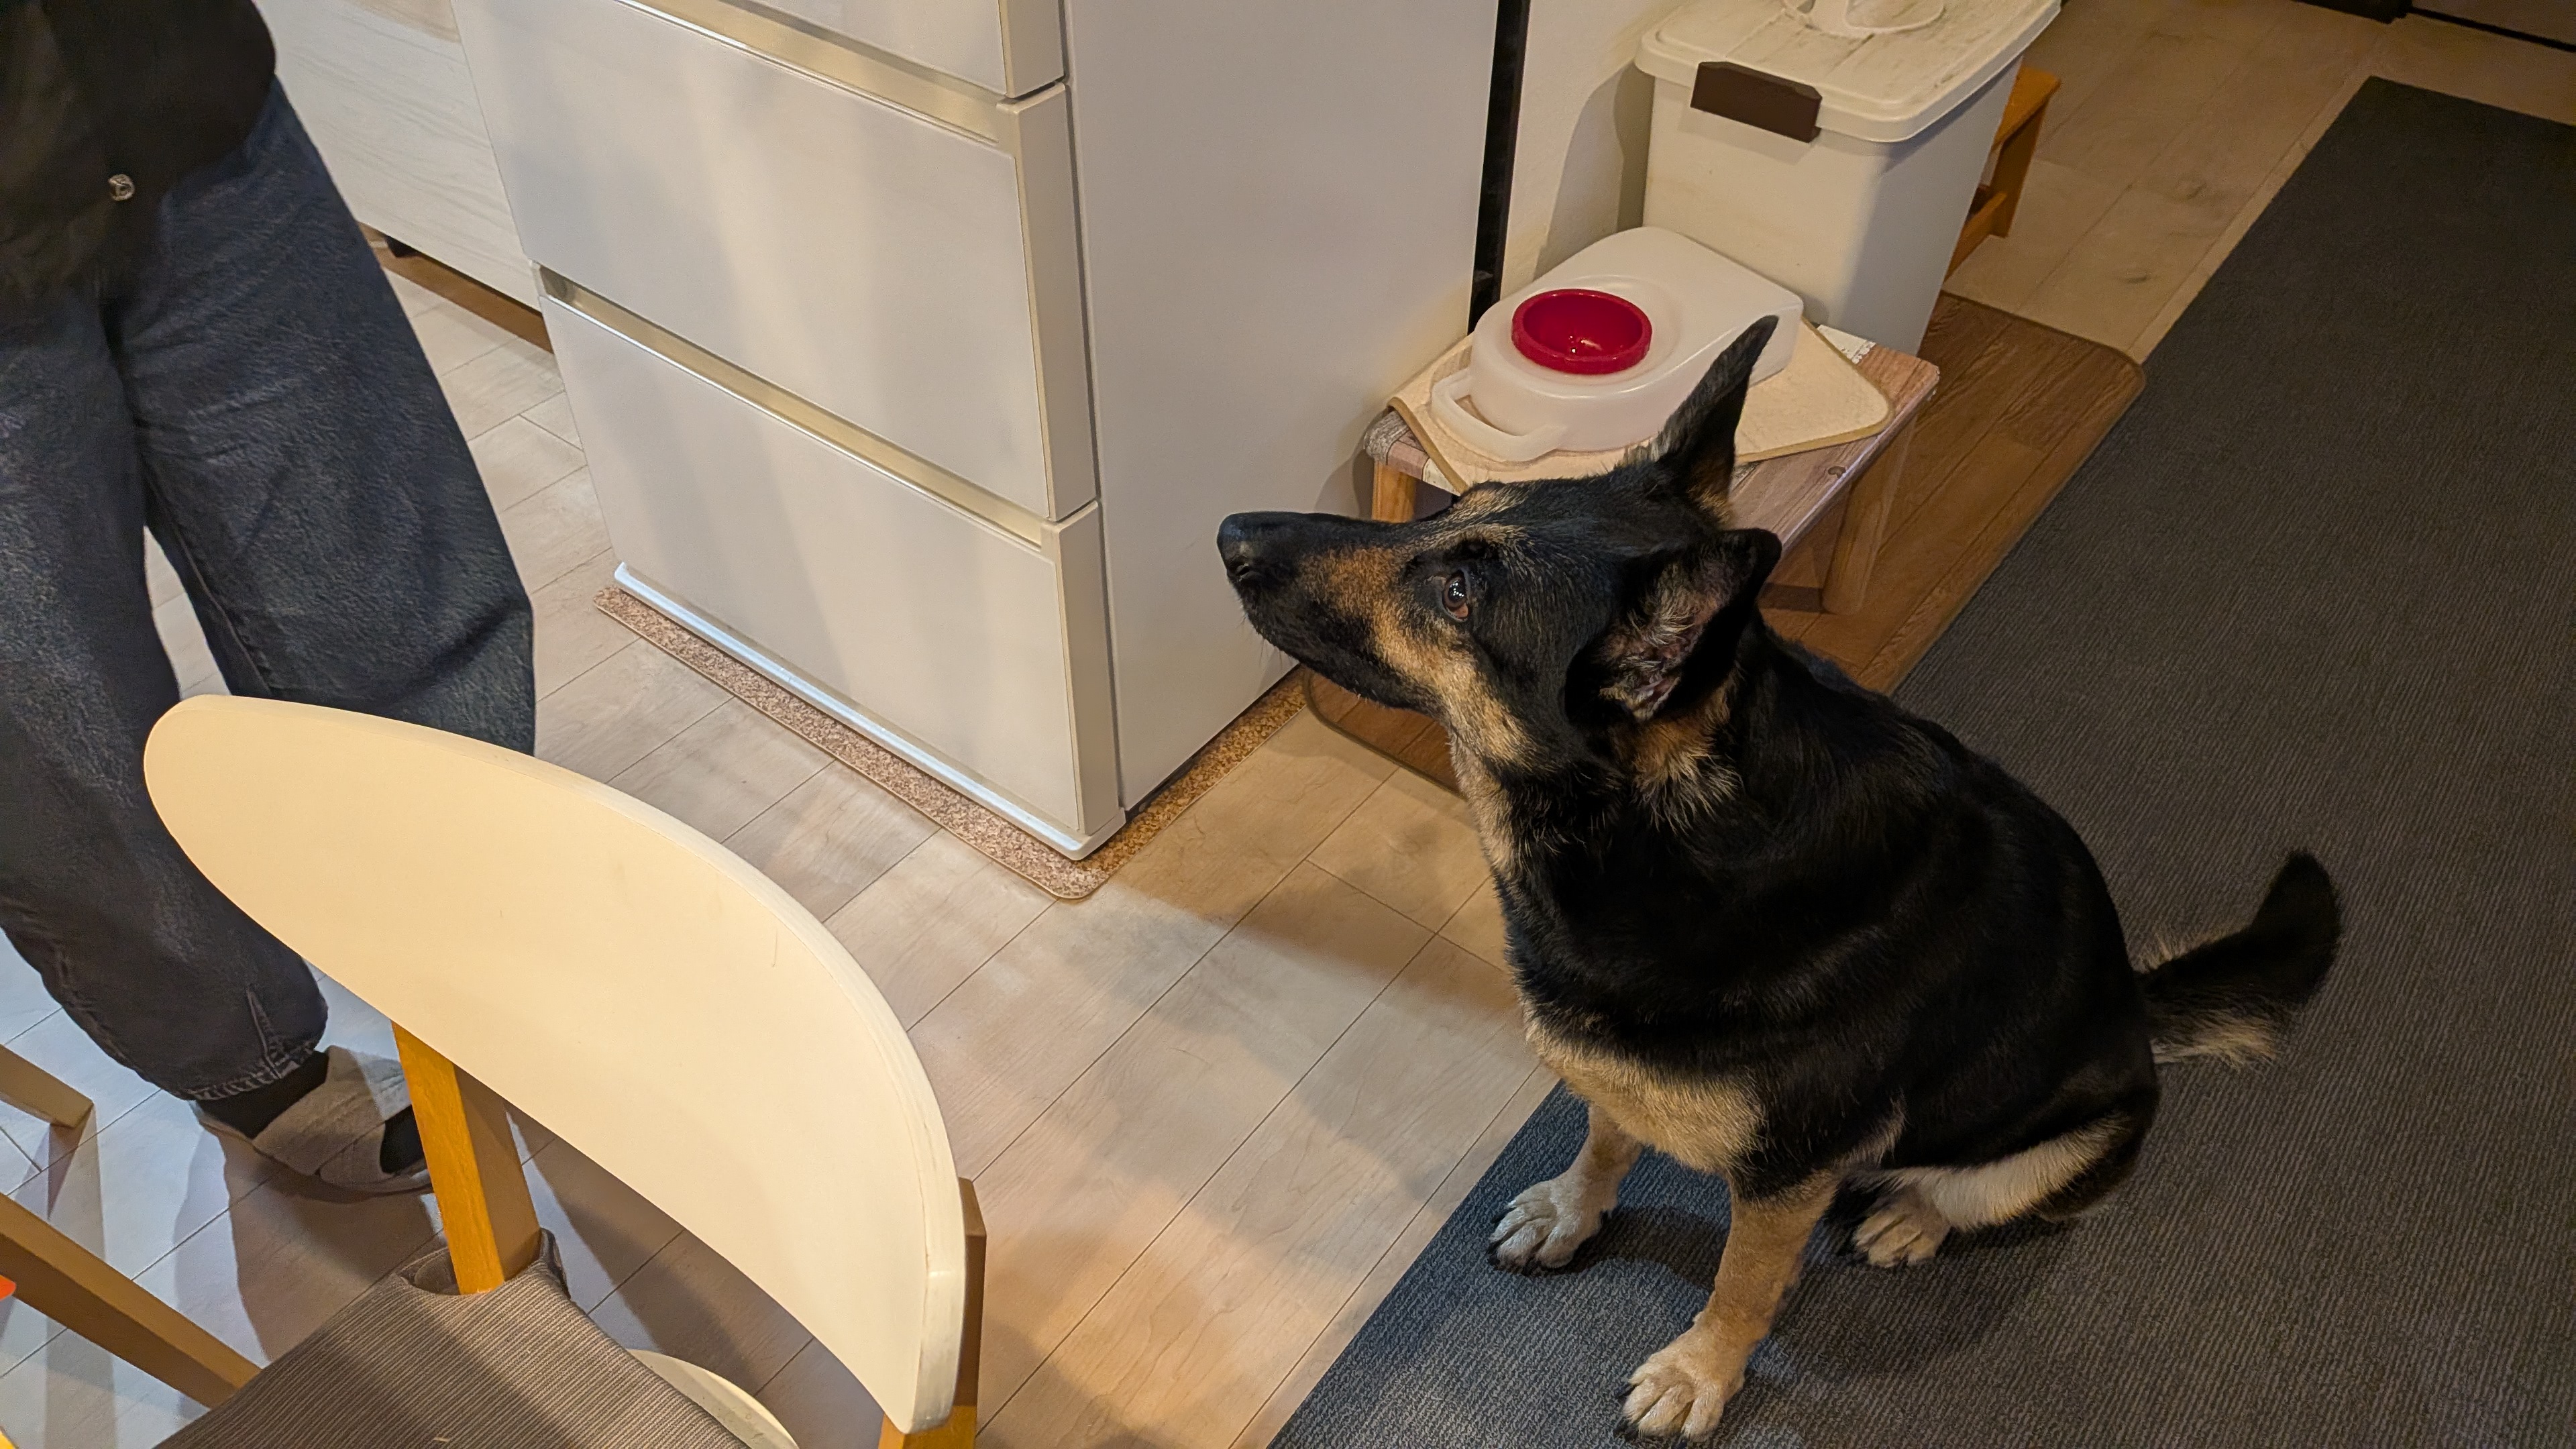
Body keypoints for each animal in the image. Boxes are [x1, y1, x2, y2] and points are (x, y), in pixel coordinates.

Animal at [1217, 318, 2340, 1443]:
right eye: (1451, 508)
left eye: (1458, 596)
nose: (1229, 531)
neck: (1669, 832)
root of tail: (2140, 1014)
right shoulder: (1616, 1070)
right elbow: (1607, 1138)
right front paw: (1576, 1211)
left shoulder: (1788, 1176)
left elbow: (1743, 1282)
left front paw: (1701, 1371)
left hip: (2050, 1151)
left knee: (1959, 1198)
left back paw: (1909, 1218)